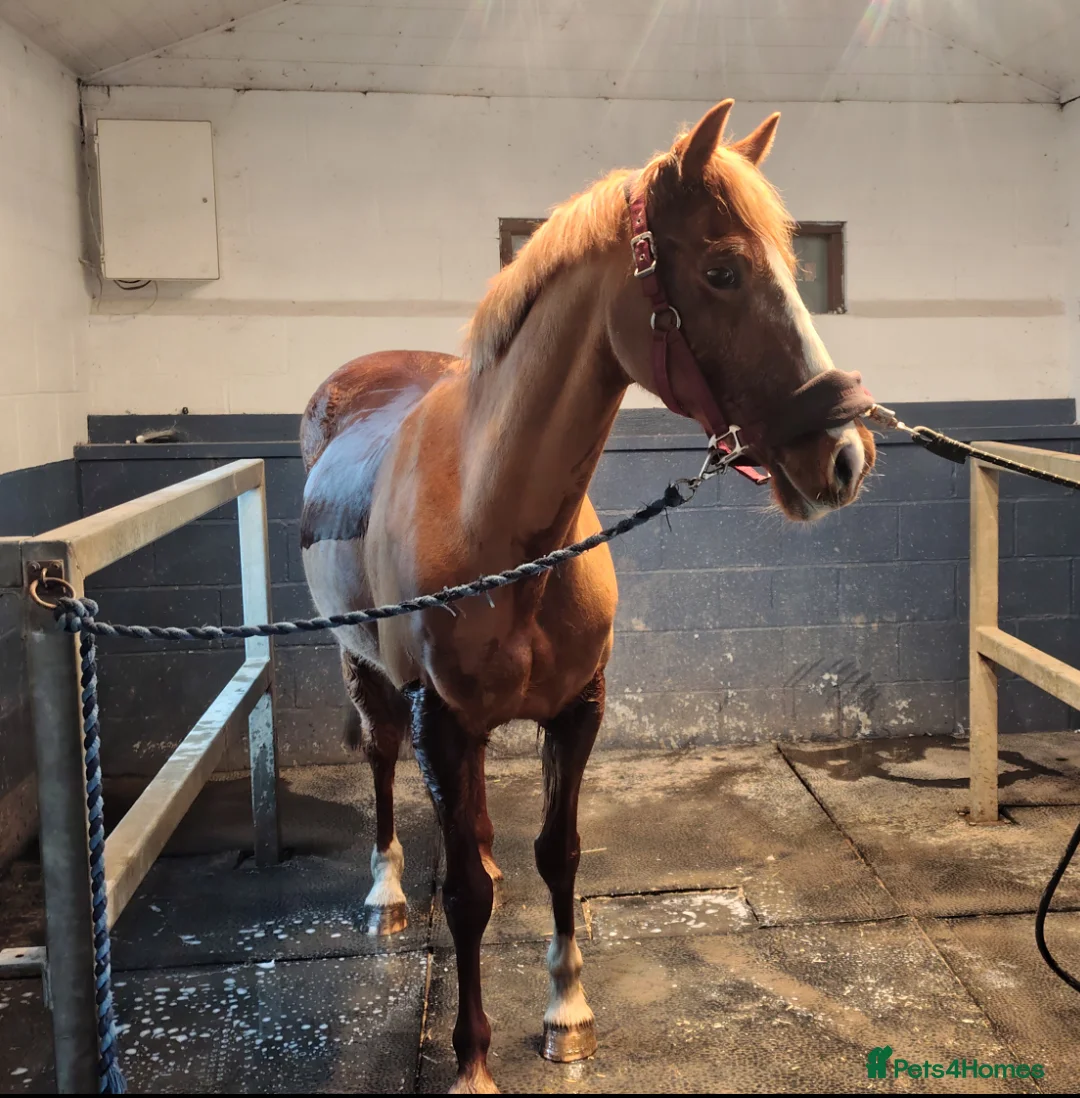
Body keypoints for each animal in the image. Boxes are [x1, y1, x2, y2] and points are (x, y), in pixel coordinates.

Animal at [300, 99, 877, 1093]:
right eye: (722, 270)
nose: (844, 456)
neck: (502, 526)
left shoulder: (579, 712)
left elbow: (558, 856)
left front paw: (567, 1014)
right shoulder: (439, 718)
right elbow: (464, 893)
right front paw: (472, 1059)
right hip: (363, 668)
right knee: (380, 762)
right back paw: (386, 892)